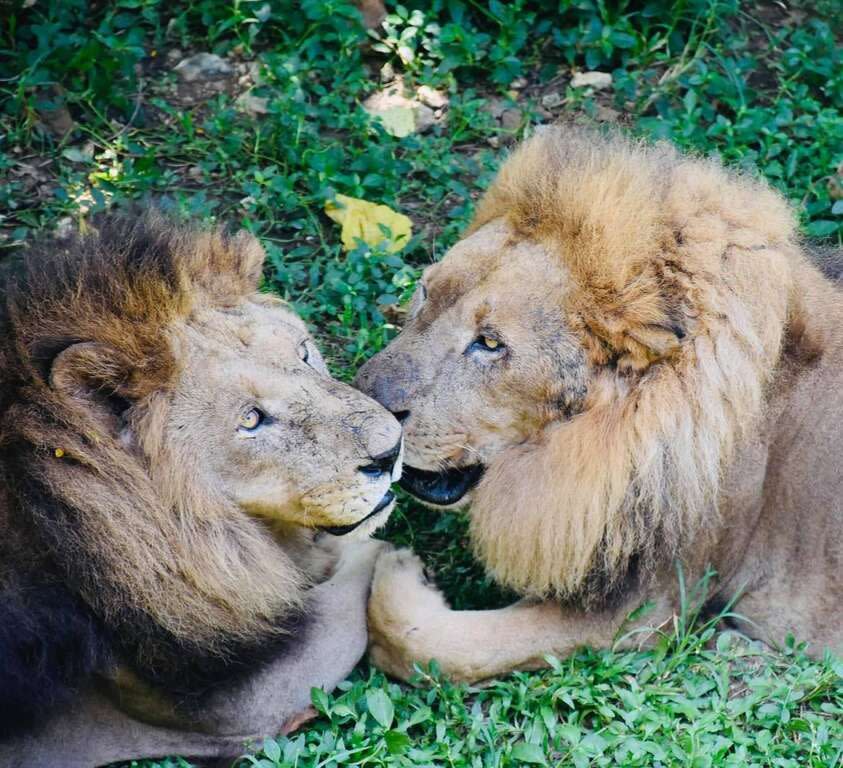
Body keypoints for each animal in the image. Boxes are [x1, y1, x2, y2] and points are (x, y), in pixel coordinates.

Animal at [354, 127, 843, 684]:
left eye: (491, 343)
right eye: (424, 293)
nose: (369, 407)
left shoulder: (641, 606)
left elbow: (426, 642)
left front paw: (397, 568)